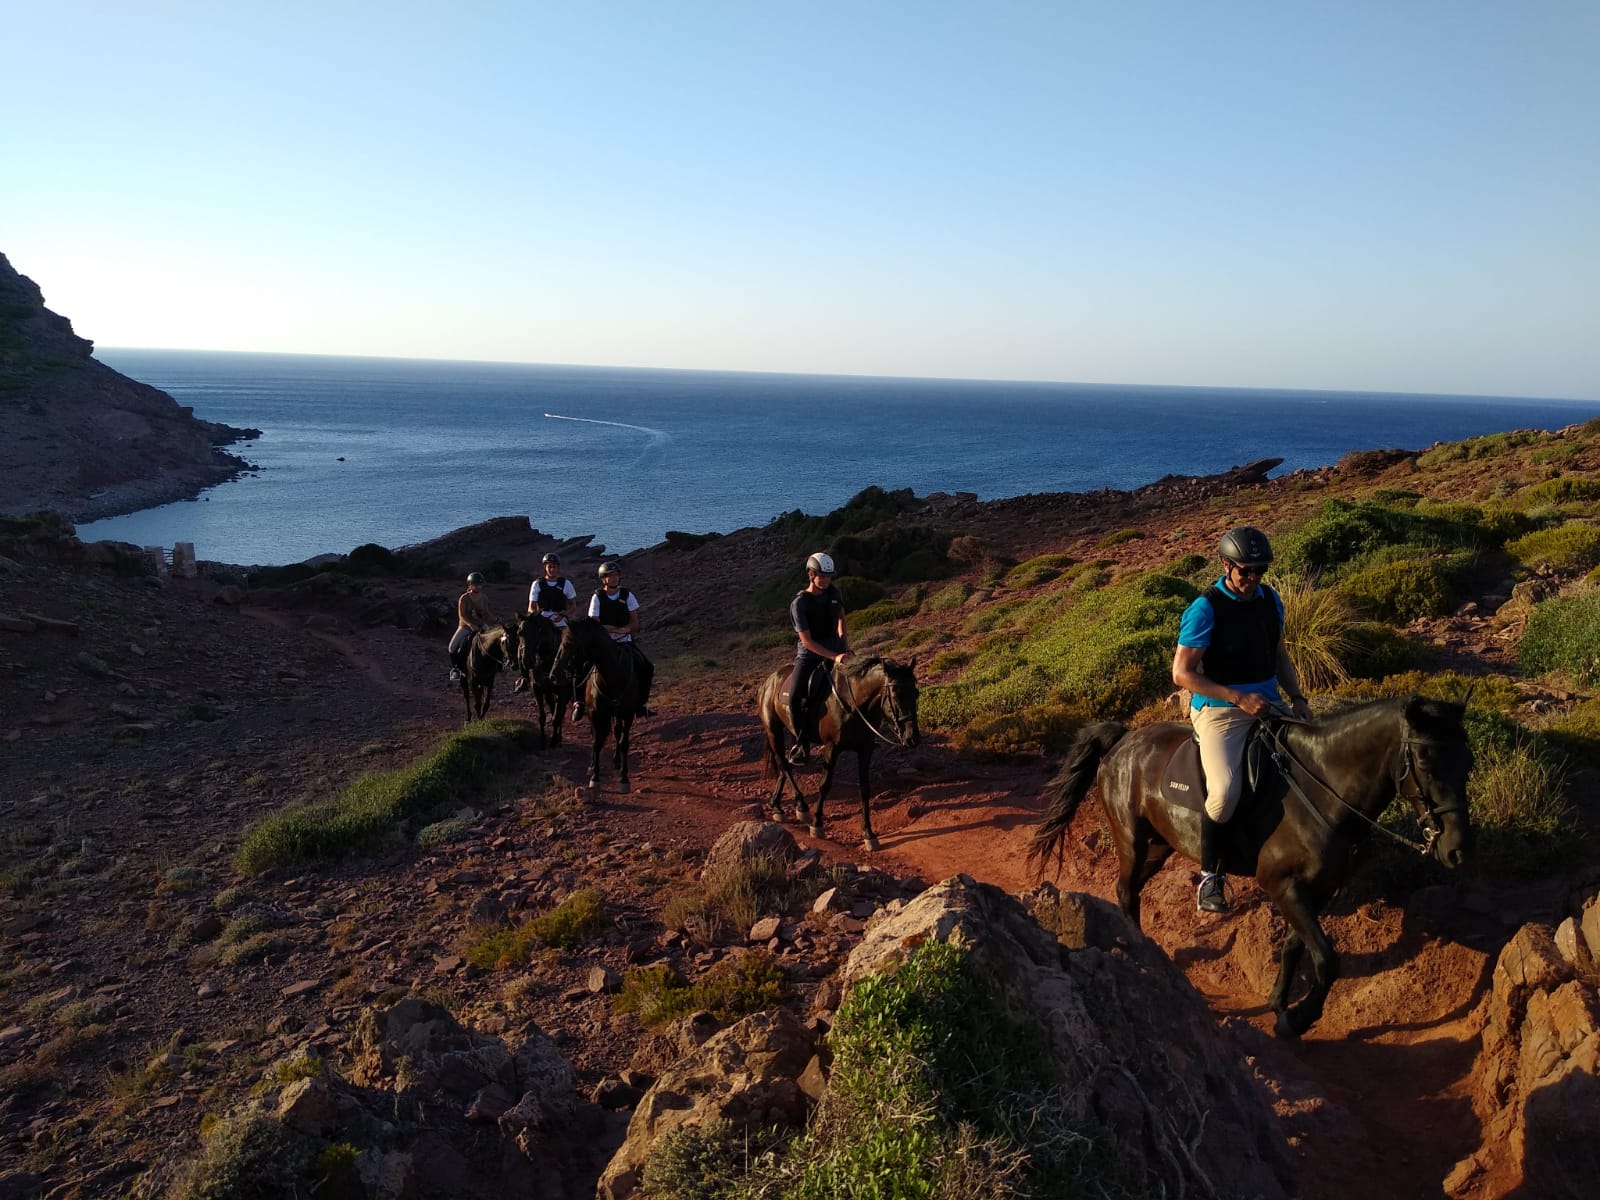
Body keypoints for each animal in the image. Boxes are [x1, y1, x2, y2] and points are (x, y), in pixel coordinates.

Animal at [508, 614, 572, 748]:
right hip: (549, 692)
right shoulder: (538, 688)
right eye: (519, 633)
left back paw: (559, 738)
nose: (526, 661)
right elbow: (542, 716)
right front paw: (542, 741)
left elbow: (557, 717)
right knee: (553, 708)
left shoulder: (563, 692)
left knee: (561, 713)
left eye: (538, 632)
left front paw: (553, 740)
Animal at [550, 620, 643, 800]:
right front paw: (595, 777)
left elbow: (624, 743)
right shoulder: (596, 714)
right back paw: (593, 766)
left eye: (569, 644)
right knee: (599, 737)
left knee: (617, 733)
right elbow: (596, 742)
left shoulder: (627, 714)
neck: (613, 675)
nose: (553, 675)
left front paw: (624, 779)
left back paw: (617, 762)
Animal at [755, 659, 921, 857]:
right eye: (895, 693)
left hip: (795, 735)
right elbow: (825, 785)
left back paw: (777, 806)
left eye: (916, 693)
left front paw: (869, 834)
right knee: (784, 764)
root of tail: (768, 681)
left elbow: (864, 790)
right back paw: (801, 806)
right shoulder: (831, 748)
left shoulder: (865, 751)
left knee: (786, 765)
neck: (854, 704)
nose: (912, 738)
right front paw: (817, 825)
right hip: (773, 730)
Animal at [1030, 694, 1465, 1043]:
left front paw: (1279, 1003)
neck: (1321, 792)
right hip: (1132, 840)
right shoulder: (1282, 886)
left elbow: (1295, 946)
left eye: (1468, 760)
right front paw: (1297, 1020)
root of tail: (1123, 740)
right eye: (1424, 759)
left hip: (1159, 846)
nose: (1457, 850)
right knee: (1124, 892)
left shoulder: (1317, 890)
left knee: (1132, 892)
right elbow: (1327, 959)